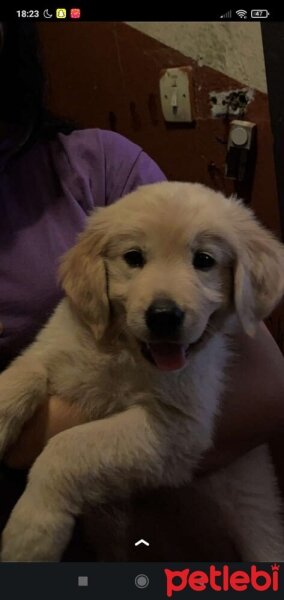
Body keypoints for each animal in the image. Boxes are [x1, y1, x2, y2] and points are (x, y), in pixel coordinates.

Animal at [0, 183, 284, 564]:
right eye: (133, 257)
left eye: (204, 260)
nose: (164, 315)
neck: (123, 352)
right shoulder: (54, 347)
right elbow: (23, 373)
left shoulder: (176, 427)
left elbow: (68, 446)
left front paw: (31, 531)